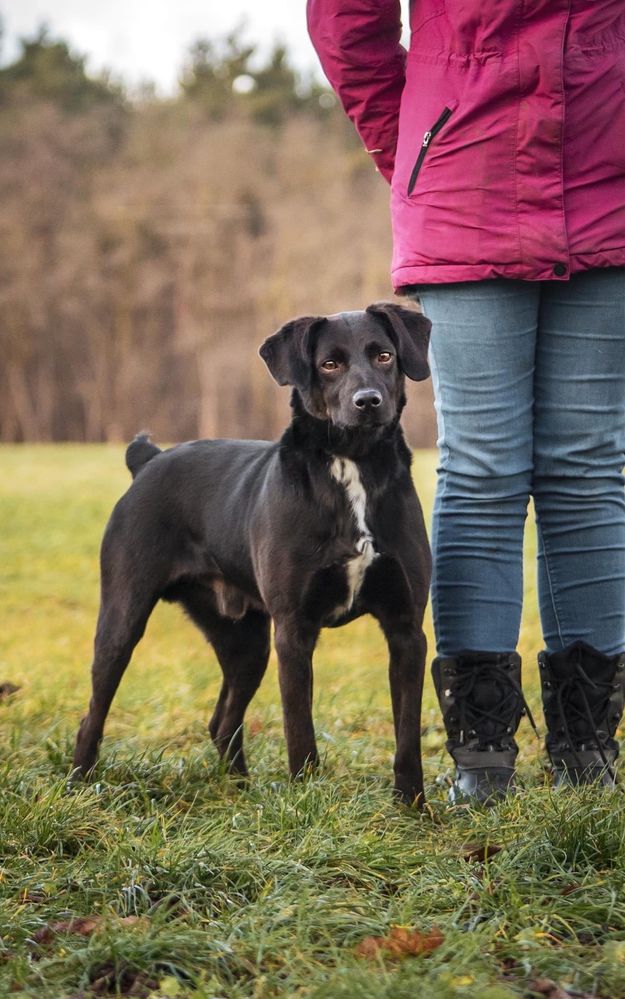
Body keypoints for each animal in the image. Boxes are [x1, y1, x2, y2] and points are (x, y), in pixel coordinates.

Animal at [73, 302, 432, 804]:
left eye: (384, 355)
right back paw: (78, 787)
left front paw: (412, 806)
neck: (353, 465)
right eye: (329, 364)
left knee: (222, 722)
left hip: (245, 641)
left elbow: (407, 734)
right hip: (122, 619)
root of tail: (149, 461)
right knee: (93, 714)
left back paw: (241, 791)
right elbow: (299, 731)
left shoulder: (406, 628)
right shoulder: (294, 630)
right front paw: (308, 802)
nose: (368, 401)